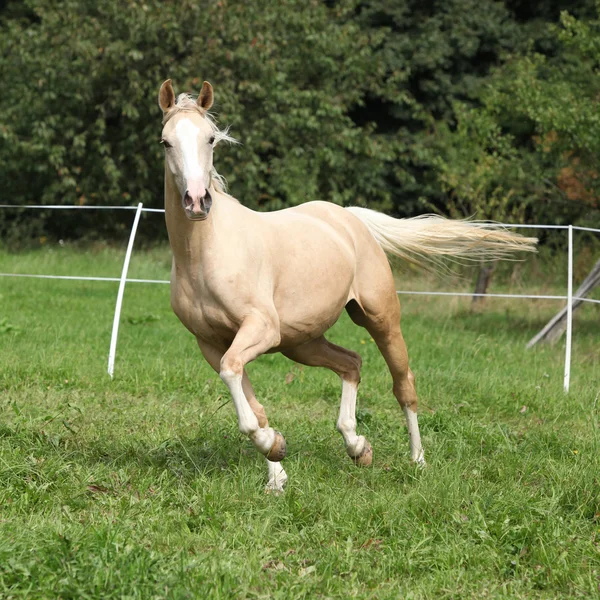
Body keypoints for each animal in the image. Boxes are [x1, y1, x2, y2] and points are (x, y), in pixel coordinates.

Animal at [157, 79, 536, 492]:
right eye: (166, 142)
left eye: (210, 139)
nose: (197, 201)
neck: (205, 253)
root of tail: (350, 218)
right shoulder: (212, 344)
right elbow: (251, 404)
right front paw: (277, 467)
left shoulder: (259, 329)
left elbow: (237, 385)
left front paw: (275, 451)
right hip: (301, 343)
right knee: (351, 363)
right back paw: (358, 447)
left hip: (380, 320)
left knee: (404, 386)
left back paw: (417, 461)